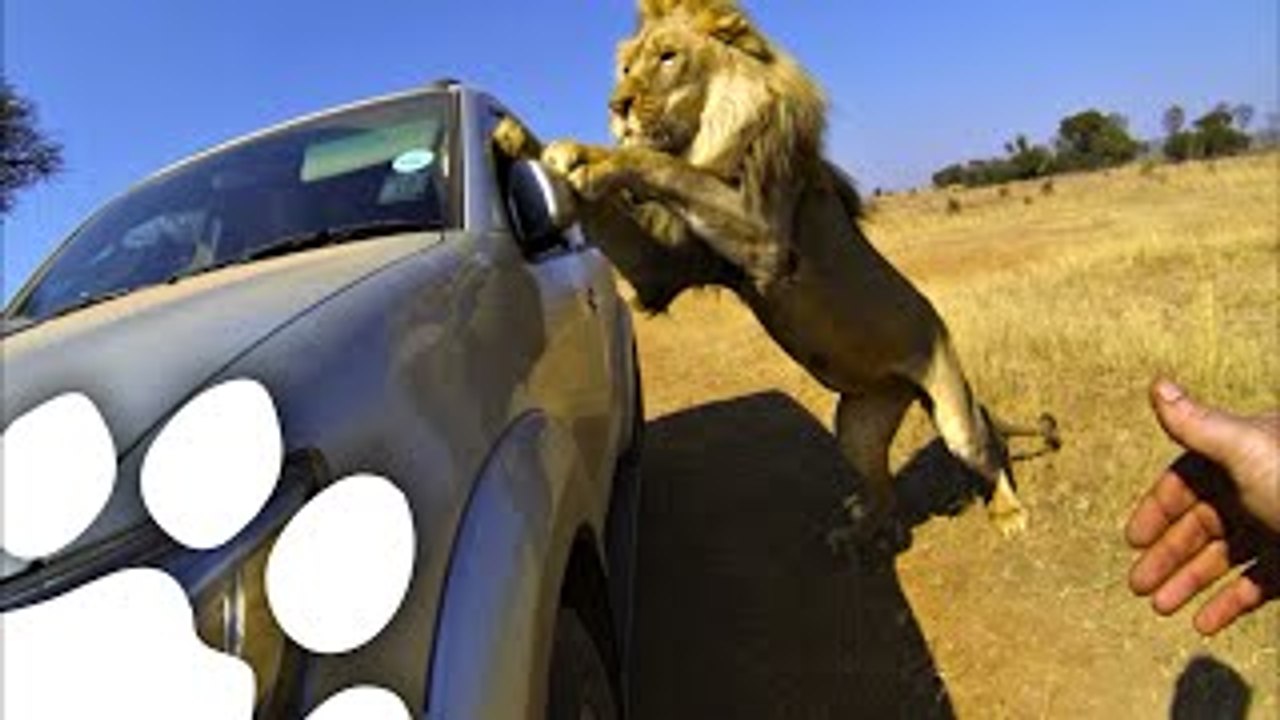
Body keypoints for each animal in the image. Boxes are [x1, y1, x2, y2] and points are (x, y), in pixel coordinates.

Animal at [499, 0, 1059, 545]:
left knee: (987, 452)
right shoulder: (667, 265)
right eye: (626, 67)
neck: (708, 132)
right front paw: (515, 135)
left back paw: (1008, 514)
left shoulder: (764, 238)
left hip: (952, 408)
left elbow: (667, 168)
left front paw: (592, 155)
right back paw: (858, 530)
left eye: (668, 57)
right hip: (855, 424)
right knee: (885, 494)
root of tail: (907, 387)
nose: (617, 107)